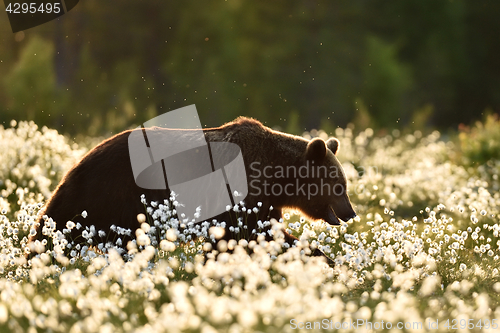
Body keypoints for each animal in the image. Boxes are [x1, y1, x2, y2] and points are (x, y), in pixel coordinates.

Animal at [29, 116, 356, 260]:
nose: (351, 213)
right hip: (111, 193)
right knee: (59, 224)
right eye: (339, 186)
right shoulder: (241, 197)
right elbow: (252, 234)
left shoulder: (260, 204)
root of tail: (81, 157)